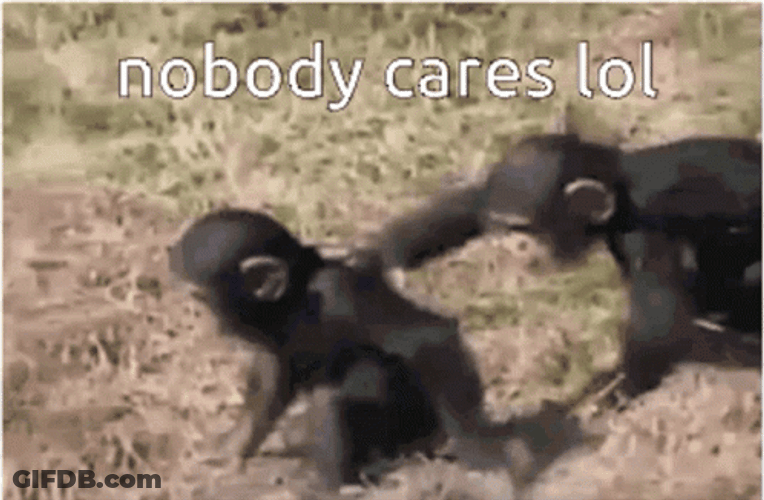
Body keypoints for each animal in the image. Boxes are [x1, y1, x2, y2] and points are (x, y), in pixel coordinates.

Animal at [374, 134, 761, 396]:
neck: (619, 191)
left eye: (525, 229)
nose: (509, 244)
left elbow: (658, 317)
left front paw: (605, 392)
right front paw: (386, 260)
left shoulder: (646, 228)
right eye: (505, 225)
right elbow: (467, 205)